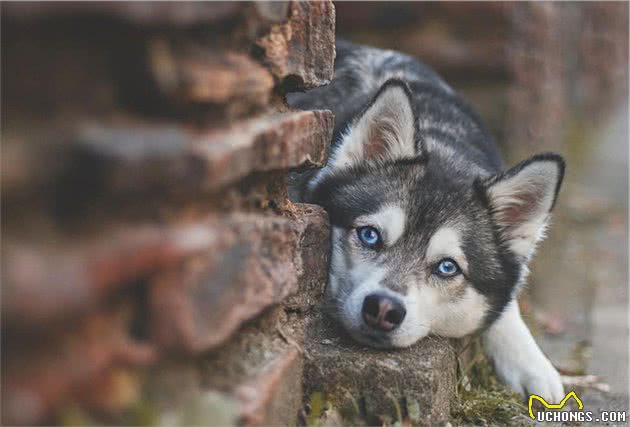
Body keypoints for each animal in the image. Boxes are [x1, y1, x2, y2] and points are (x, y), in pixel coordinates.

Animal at [290, 38, 568, 402]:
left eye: (447, 267)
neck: (440, 142)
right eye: (370, 235)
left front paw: (531, 362)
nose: (383, 308)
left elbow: (506, 303)